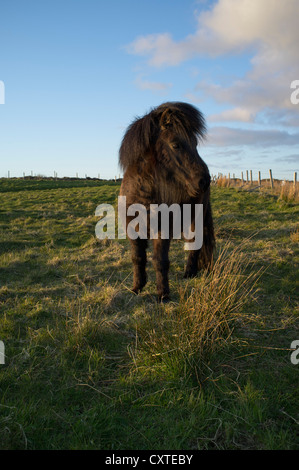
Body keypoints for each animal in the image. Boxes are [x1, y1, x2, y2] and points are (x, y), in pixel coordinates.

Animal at [119, 102, 216, 302]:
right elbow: (137, 258)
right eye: (175, 144)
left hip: (197, 217)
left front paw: (162, 294)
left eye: (195, 144)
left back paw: (189, 273)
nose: (204, 180)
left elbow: (160, 261)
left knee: (195, 243)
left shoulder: (162, 230)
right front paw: (137, 287)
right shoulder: (132, 229)